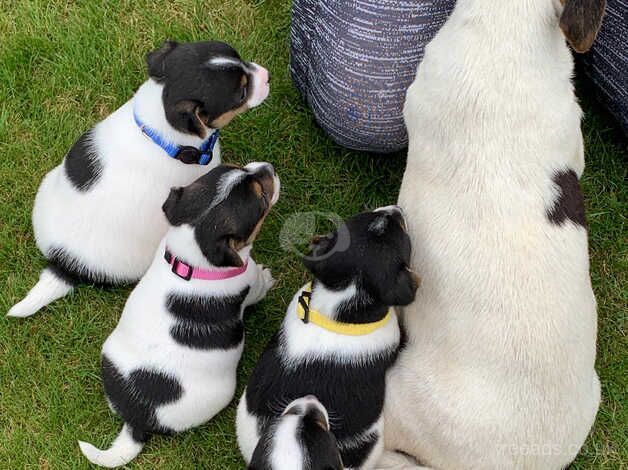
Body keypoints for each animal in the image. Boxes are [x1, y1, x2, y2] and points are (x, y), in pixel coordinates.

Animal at [79, 162, 280, 466]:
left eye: (237, 166)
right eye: (262, 197)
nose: (268, 166)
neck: (191, 259)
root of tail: (137, 421)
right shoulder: (250, 281)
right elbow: (259, 284)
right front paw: (269, 278)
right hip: (222, 395)